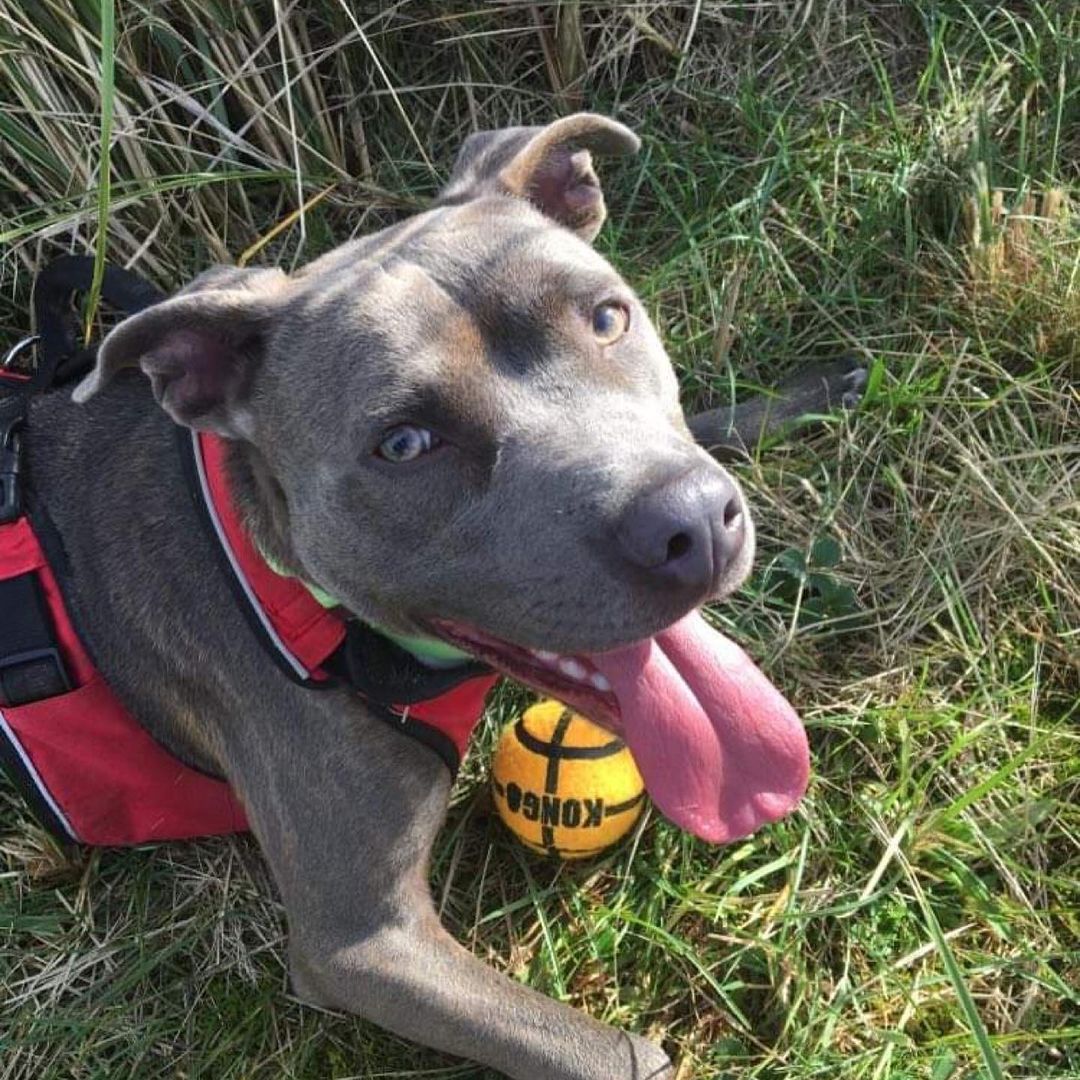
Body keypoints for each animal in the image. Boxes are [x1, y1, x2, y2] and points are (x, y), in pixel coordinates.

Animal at [14, 113, 859, 1075]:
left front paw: (807, 393)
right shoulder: (364, 944)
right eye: (405, 444)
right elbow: (605, 1053)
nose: (693, 524)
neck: (304, 600)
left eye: (609, 317)